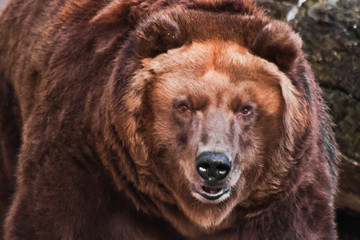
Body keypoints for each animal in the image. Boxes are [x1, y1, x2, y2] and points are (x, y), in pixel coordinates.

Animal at [0, 0, 338, 239]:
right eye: (184, 105)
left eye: (245, 108)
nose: (213, 165)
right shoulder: (86, 161)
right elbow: (45, 220)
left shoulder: (286, 196)